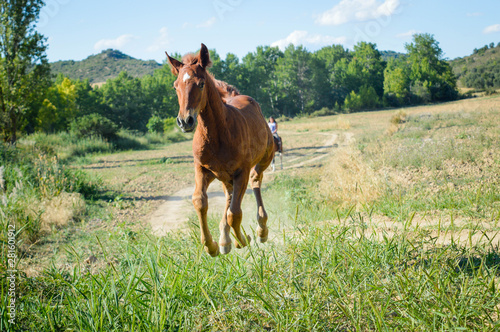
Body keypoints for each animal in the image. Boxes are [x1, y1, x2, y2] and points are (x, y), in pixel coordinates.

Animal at [166, 44, 274, 256]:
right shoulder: (203, 169)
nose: (185, 121)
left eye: (200, 84)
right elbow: (199, 201)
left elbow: (235, 213)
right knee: (228, 195)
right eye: (175, 86)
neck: (217, 135)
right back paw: (225, 239)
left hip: (265, 157)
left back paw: (260, 230)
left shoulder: (241, 171)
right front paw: (212, 246)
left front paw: (243, 240)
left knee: (255, 181)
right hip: (225, 176)